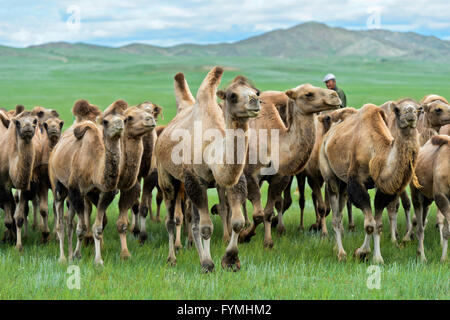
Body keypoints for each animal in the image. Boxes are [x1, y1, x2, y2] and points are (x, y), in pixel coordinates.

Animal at [49, 99, 125, 262]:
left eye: (124, 119)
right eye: (106, 121)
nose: (119, 125)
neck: (94, 167)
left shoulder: (105, 193)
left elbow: (97, 228)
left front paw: (97, 260)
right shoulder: (76, 190)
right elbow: (82, 228)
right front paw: (76, 256)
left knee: (70, 222)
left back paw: (70, 254)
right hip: (58, 184)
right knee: (61, 222)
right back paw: (63, 257)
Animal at [155, 67, 260, 272]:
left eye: (256, 91)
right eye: (232, 95)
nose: (255, 101)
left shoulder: (234, 179)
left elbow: (237, 222)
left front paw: (230, 260)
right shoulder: (195, 180)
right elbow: (205, 227)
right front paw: (208, 263)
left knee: (193, 221)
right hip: (167, 178)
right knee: (171, 220)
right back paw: (172, 258)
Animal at [239, 85, 342, 248]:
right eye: (308, 94)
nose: (335, 96)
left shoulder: (280, 178)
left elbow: (267, 212)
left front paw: (268, 242)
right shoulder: (250, 175)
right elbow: (258, 214)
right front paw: (244, 236)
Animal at [318, 102, 420, 262]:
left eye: (419, 110)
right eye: (398, 110)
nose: (410, 113)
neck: (376, 152)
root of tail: (327, 136)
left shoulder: (381, 186)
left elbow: (377, 224)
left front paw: (376, 258)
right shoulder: (356, 181)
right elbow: (370, 224)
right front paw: (362, 252)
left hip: (343, 183)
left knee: (340, 212)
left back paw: (335, 247)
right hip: (328, 171)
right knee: (335, 215)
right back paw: (341, 254)